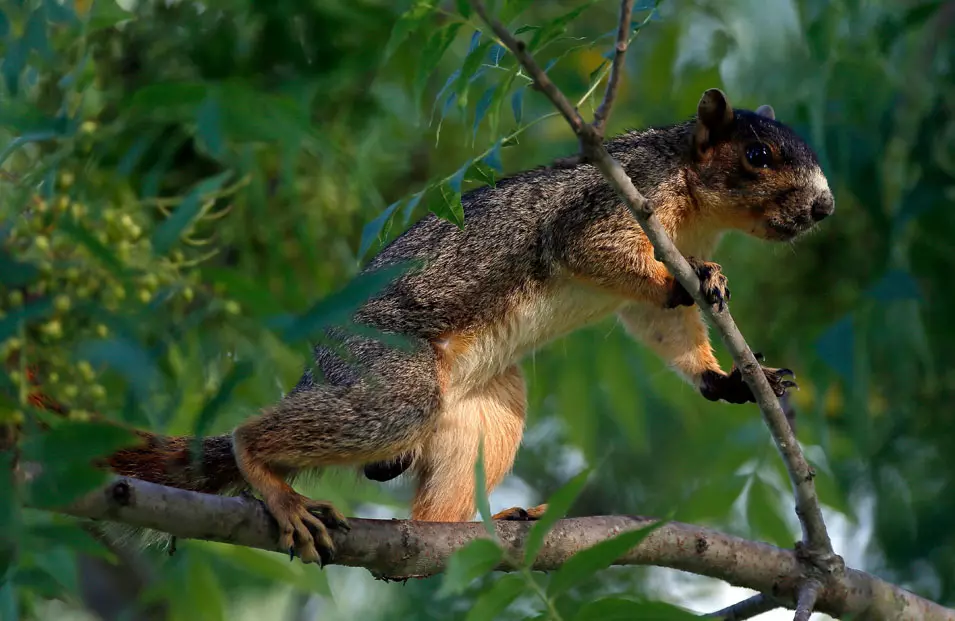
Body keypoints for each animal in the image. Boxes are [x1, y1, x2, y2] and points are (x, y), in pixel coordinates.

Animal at [104, 88, 832, 568]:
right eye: (758, 154)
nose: (824, 206)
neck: (696, 212)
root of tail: (320, 365)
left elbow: (657, 323)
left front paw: (733, 376)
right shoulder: (618, 196)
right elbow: (590, 248)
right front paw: (699, 278)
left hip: (486, 410)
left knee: (432, 512)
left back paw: (481, 524)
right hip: (387, 379)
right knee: (279, 429)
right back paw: (272, 482)